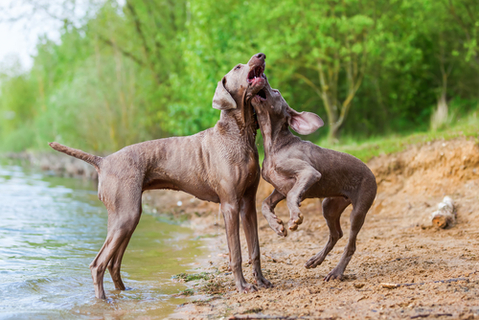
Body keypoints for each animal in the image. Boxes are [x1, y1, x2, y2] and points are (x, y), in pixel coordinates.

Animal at [51, 53, 274, 300]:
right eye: (237, 67)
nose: (261, 55)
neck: (239, 134)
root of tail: (103, 161)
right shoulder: (230, 205)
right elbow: (236, 252)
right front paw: (242, 286)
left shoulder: (248, 203)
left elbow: (255, 249)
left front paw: (261, 281)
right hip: (125, 216)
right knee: (98, 264)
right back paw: (104, 300)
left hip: (127, 218)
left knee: (113, 263)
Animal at [251, 79, 378, 282]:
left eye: (276, 92)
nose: (264, 78)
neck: (275, 144)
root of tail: (371, 172)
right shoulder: (280, 189)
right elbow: (264, 203)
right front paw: (276, 225)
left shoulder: (308, 173)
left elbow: (292, 196)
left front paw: (294, 218)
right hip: (330, 206)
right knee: (336, 234)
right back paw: (316, 260)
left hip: (359, 209)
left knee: (350, 244)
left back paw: (336, 272)